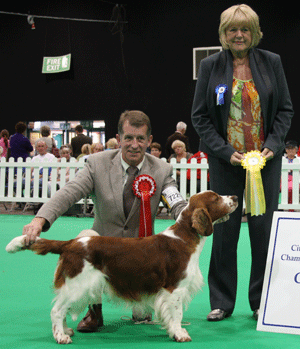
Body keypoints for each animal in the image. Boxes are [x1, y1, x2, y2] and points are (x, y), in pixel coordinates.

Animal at [5, 190, 238, 342]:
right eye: (216, 198)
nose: (236, 197)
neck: (184, 237)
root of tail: (70, 243)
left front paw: (173, 332)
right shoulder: (175, 289)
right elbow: (177, 314)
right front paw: (180, 334)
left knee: (61, 308)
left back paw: (65, 331)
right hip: (78, 285)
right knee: (57, 310)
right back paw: (61, 336)